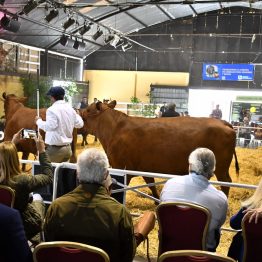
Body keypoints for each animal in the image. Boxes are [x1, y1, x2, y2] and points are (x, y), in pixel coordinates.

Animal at [82, 100, 239, 199]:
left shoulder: (121, 168)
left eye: (88, 110)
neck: (115, 129)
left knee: (226, 183)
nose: (79, 112)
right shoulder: (144, 168)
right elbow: (151, 185)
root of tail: (223, 123)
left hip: (221, 168)